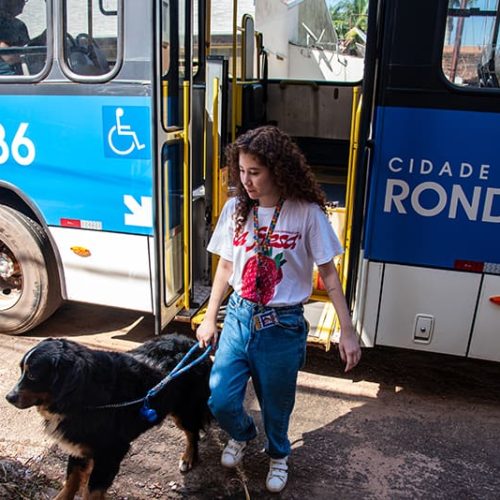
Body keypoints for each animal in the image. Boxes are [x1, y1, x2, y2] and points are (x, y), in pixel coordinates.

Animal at [6, 334, 213, 498]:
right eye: (21, 370)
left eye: (33, 374)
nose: (9, 397)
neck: (82, 394)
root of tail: (194, 343)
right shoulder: (77, 443)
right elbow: (71, 480)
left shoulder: (111, 452)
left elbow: (91, 492)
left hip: (184, 410)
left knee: (192, 433)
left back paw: (188, 457)